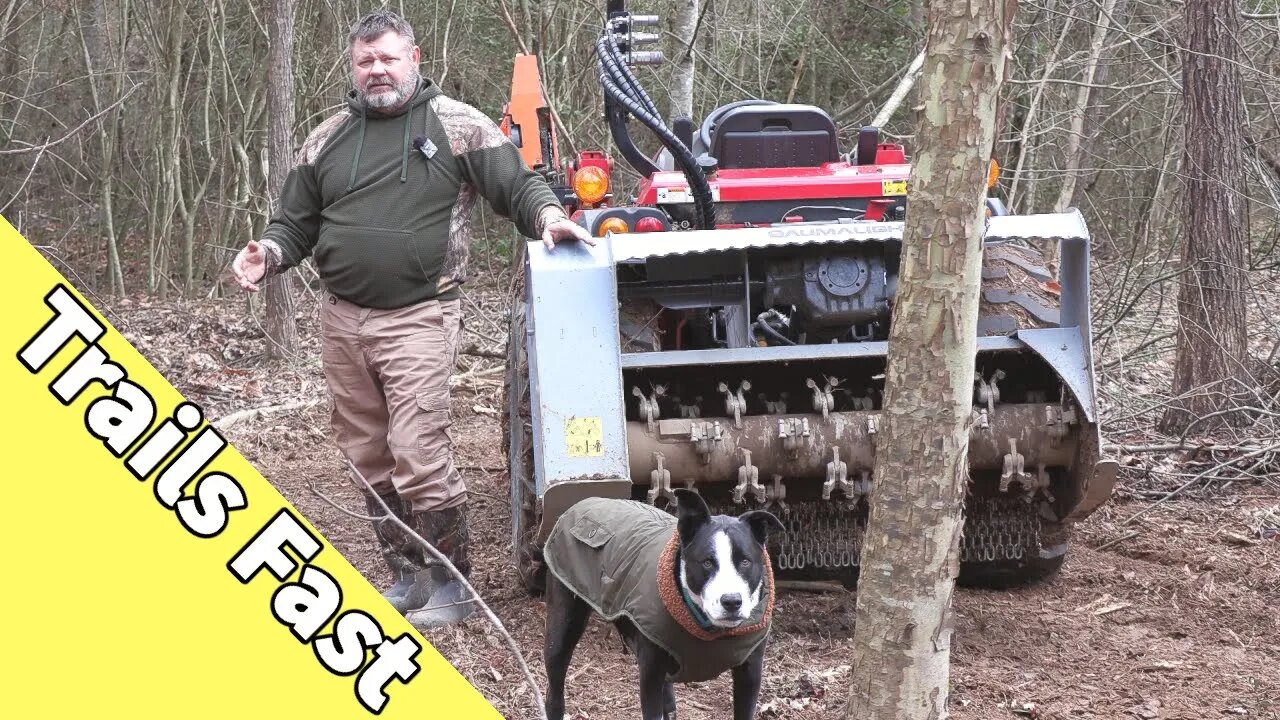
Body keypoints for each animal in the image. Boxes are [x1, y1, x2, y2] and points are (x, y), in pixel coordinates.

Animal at [540, 486, 778, 717]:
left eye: (745, 561)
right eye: (707, 563)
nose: (731, 601)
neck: (711, 632)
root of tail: (585, 501)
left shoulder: (750, 673)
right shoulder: (651, 675)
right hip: (562, 627)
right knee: (554, 689)